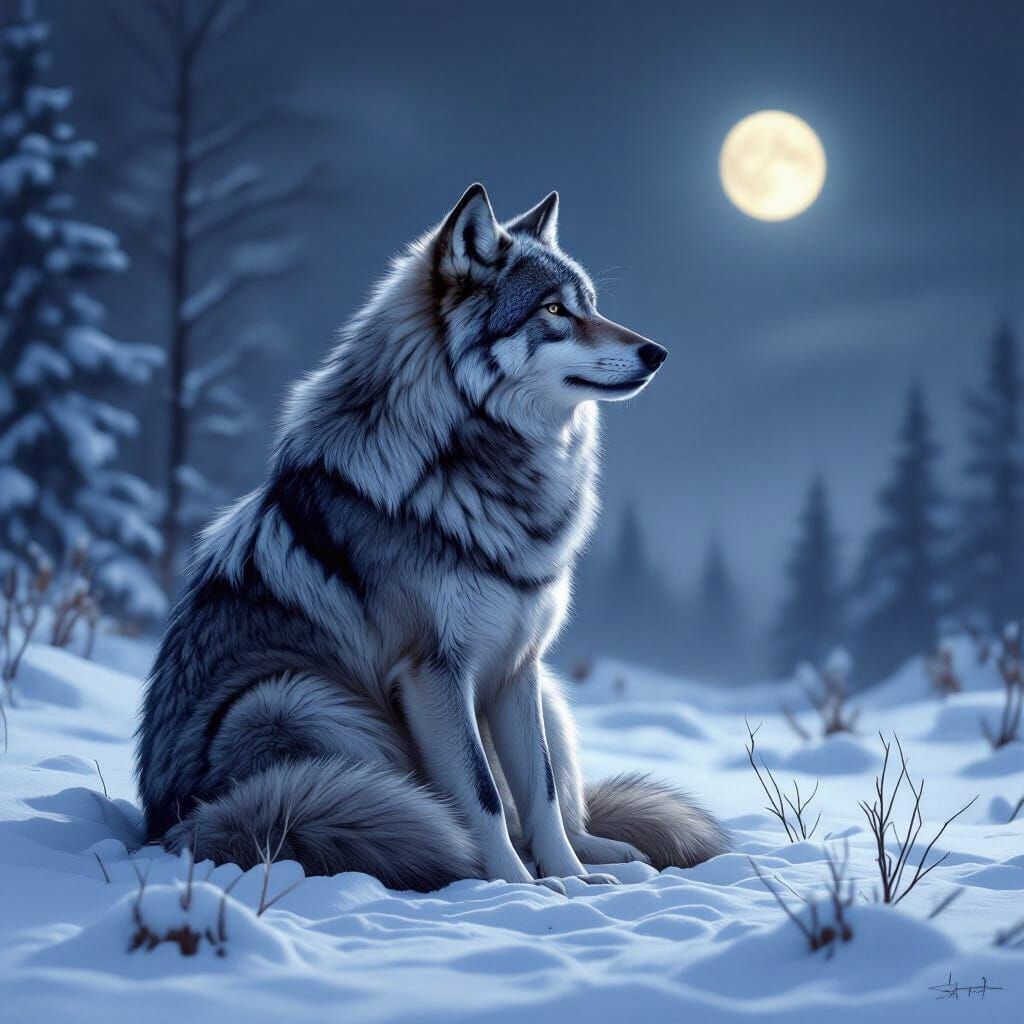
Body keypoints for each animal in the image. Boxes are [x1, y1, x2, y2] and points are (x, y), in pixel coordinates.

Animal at [136, 184, 729, 893]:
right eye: (554, 310)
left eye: (591, 305)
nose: (656, 352)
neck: (480, 471)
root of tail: (173, 829)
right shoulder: (433, 674)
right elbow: (484, 795)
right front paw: (518, 889)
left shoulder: (519, 668)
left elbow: (539, 795)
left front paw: (566, 882)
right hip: (295, 699)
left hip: (550, 697)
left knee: (568, 809)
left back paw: (610, 858)